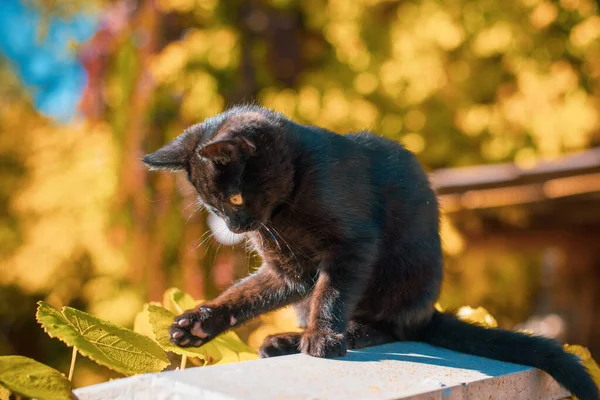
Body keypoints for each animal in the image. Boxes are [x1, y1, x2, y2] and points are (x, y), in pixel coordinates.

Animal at [143, 104, 596, 398]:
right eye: (212, 206)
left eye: (234, 198)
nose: (236, 227)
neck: (284, 213)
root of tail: (428, 310)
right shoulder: (289, 271)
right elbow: (246, 295)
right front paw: (199, 322)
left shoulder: (354, 245)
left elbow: (331, 293)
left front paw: (324, 336)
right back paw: (285, 340)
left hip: (403, 270)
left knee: (390, 328)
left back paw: (330, 335)